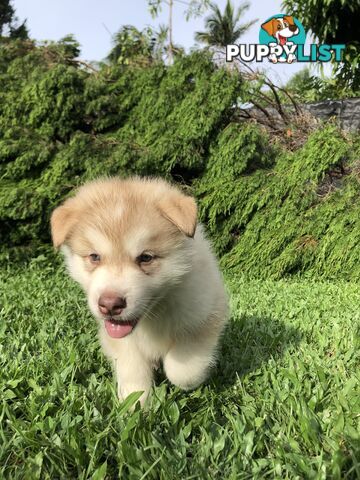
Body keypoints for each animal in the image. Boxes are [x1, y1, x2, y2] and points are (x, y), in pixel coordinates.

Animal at [50, 177, 228, 404]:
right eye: (94, 257)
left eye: (146, 257)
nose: (110, 305)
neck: (154, 313)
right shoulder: (120, 340)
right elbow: (132, 368)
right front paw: (135, 402)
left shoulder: (205, 314)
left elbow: (183, 368)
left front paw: (184, 380)